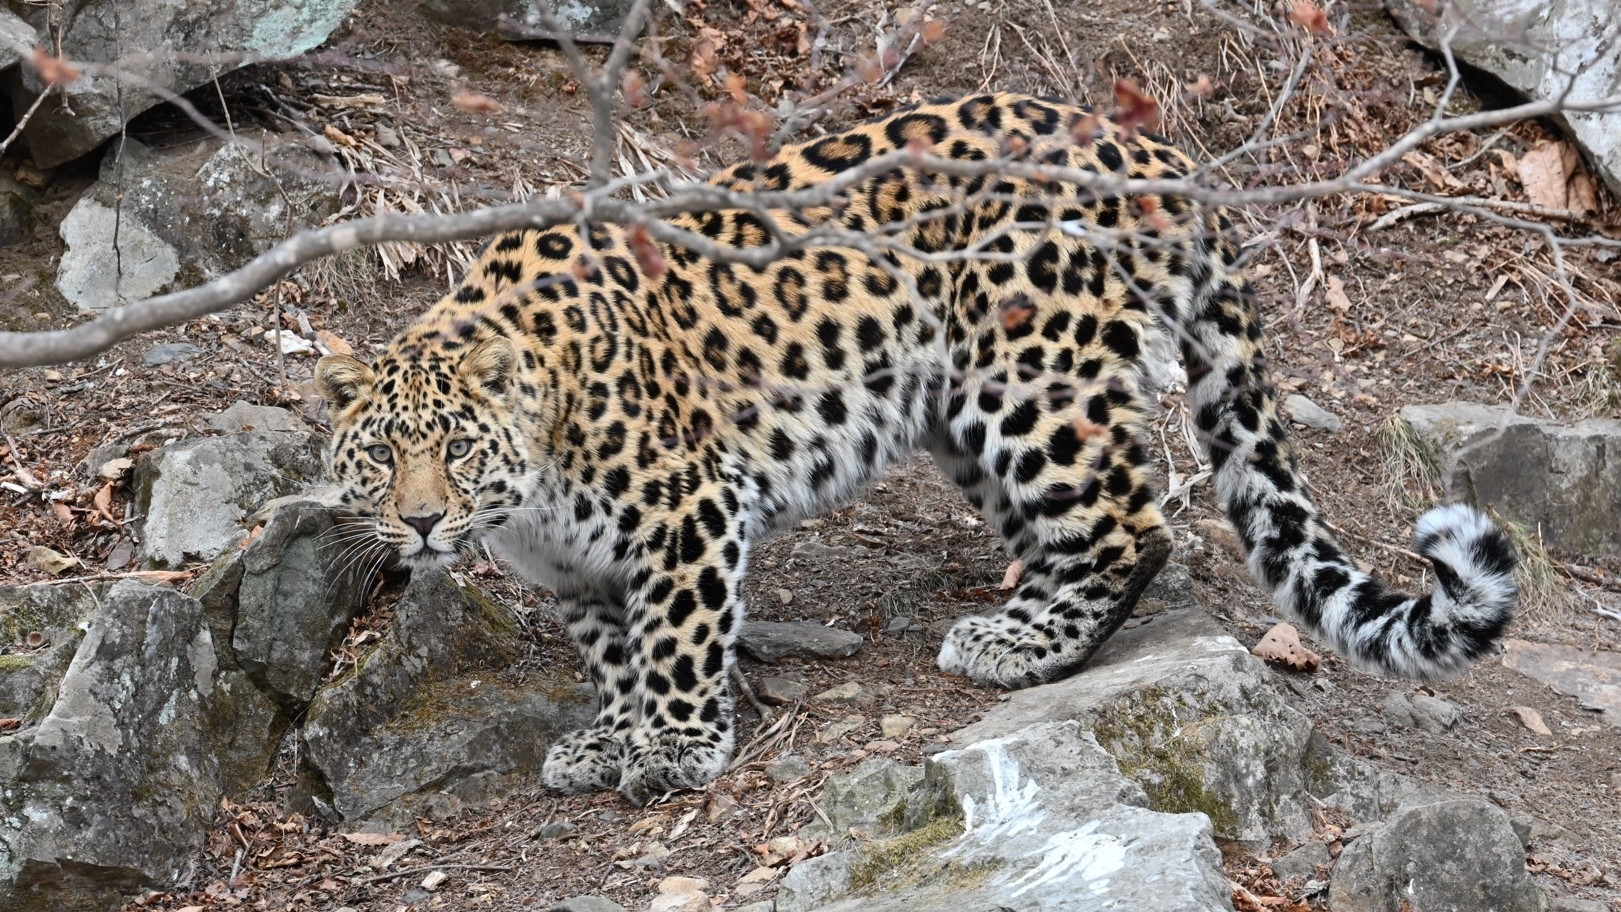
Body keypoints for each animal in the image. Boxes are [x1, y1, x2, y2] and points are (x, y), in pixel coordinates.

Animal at [314, 92, 1518, 805]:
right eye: (378, 460)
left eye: (454, 449)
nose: (421, 521)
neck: (526, 492)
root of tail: (1145, 145)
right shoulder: (578, 569)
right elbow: (614, 653)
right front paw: (607, 737)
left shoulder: (686, 511)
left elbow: (676, 641)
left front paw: (670, 748)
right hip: (961, 416)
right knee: (1076, 530)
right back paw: (1022, 623)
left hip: (1027, 374)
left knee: (1133, 522)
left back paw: (1023, 648)